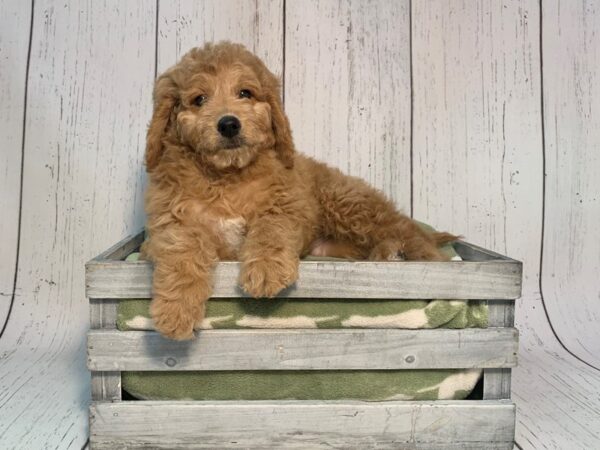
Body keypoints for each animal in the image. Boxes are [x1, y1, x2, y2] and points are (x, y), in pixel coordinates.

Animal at [144, 42, 454, 340]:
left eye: (245, 93)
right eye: (199, 99)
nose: (229, 124)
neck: (228, 177)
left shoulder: (289, 203)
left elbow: (272, 226)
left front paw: (266, 269)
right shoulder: (171, 220)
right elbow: (182, 251)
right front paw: (175, 312)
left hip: (347, 202)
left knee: (405, 229)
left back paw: (417, 255)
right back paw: (386, 253)